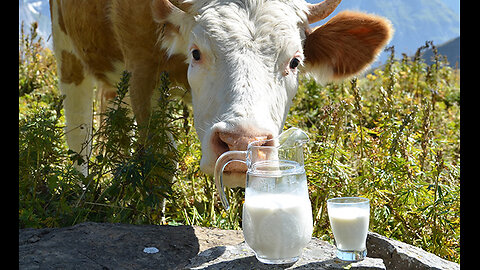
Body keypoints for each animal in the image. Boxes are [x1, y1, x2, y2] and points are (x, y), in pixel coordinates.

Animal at [50, 0, 392, 188]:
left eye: (295, 61)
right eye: (197, 53)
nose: (241, 143)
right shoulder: (142, 66)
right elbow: (161, 158)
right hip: (67, 48)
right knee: (79, 132)